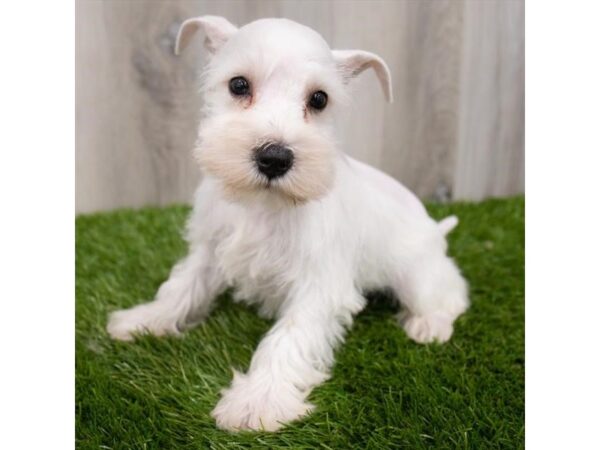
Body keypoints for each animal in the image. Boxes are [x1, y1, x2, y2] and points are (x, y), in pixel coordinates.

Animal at [110, 15, 472, 432]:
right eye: (238, 85)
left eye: (319, 99)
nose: (274, 157)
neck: (263, 204)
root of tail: (436, 231)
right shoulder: (210, 250)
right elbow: (182, 288)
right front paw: (144, 319)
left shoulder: (319, 285)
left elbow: (287, 338)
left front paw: (257, 401)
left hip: (418, 276)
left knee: (450, 294)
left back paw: (429, 325)